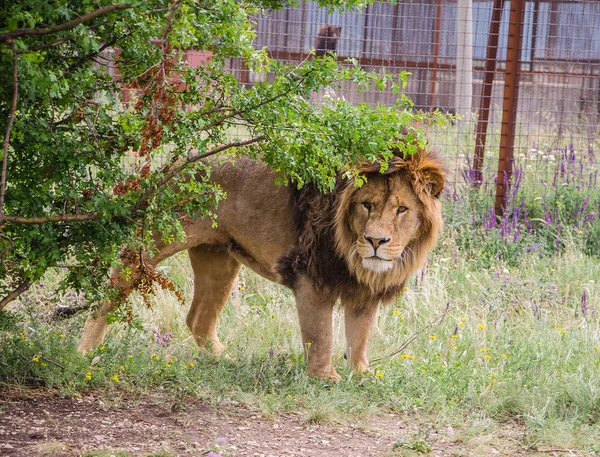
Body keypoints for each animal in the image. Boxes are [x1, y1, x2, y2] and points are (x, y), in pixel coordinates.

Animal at [78, 146, 446, 378]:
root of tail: (179, 161)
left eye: (402, 209)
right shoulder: (309, 276)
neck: (353, 253)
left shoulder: (363, 292)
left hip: (219, 261)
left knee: (198, 320)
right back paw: (85, 352)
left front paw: (362, 375)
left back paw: (224, 362)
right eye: (367, 205)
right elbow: (321, 335)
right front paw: (325, 378)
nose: (375, 242)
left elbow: (359, 337)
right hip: (152, 243)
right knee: (106, 296)